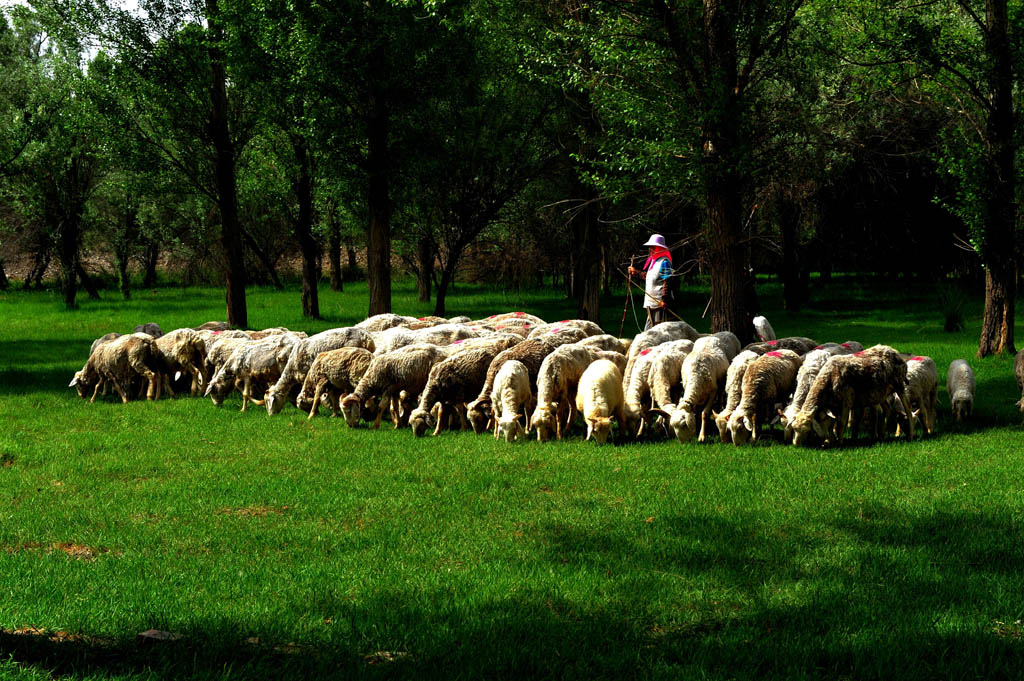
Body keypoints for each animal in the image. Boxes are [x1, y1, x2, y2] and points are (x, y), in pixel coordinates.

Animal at [786, 346, 917, 446]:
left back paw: (910, 435)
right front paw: (830, 441)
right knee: (887, 410)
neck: (828, 378)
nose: (796, 445)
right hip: (881, 392)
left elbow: (840, 424)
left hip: (898, 384)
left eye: (808, 431)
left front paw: (840, 444)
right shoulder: (834, 405)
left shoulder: (846, 400)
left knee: (908, 407)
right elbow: (832, 425)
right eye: (794, 429)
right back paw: (881, 436)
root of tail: (893, 351)